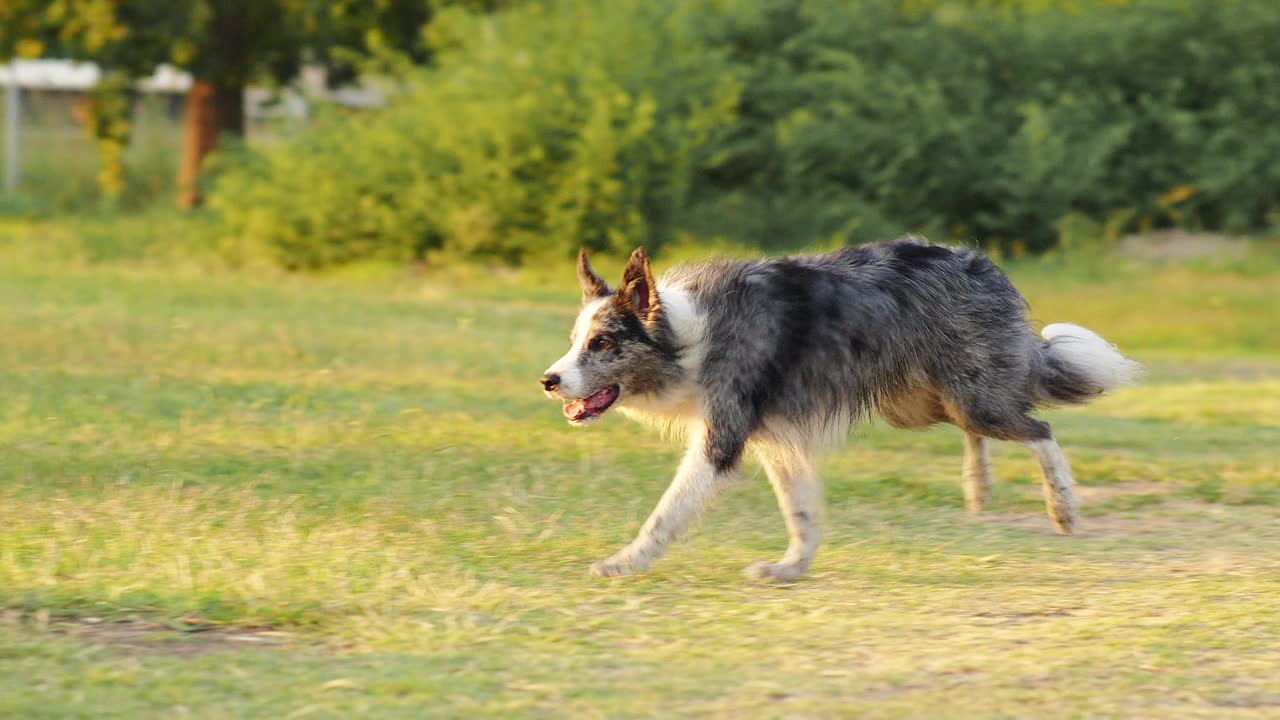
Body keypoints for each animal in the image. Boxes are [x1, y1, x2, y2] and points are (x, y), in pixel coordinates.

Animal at [540, 238, 1141, 579]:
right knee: (979, 430)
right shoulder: (773, 440)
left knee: (1039, 428)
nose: (548, 381)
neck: (685, 338)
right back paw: (978, 486)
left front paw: (625, 562)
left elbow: (665, 514)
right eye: (573, 341)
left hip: (973, 397)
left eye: (602, 344)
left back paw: (1062, 505)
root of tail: (984, 266)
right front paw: (792, 568)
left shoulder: (722, 440)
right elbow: (801, 514)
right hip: (921, 403)